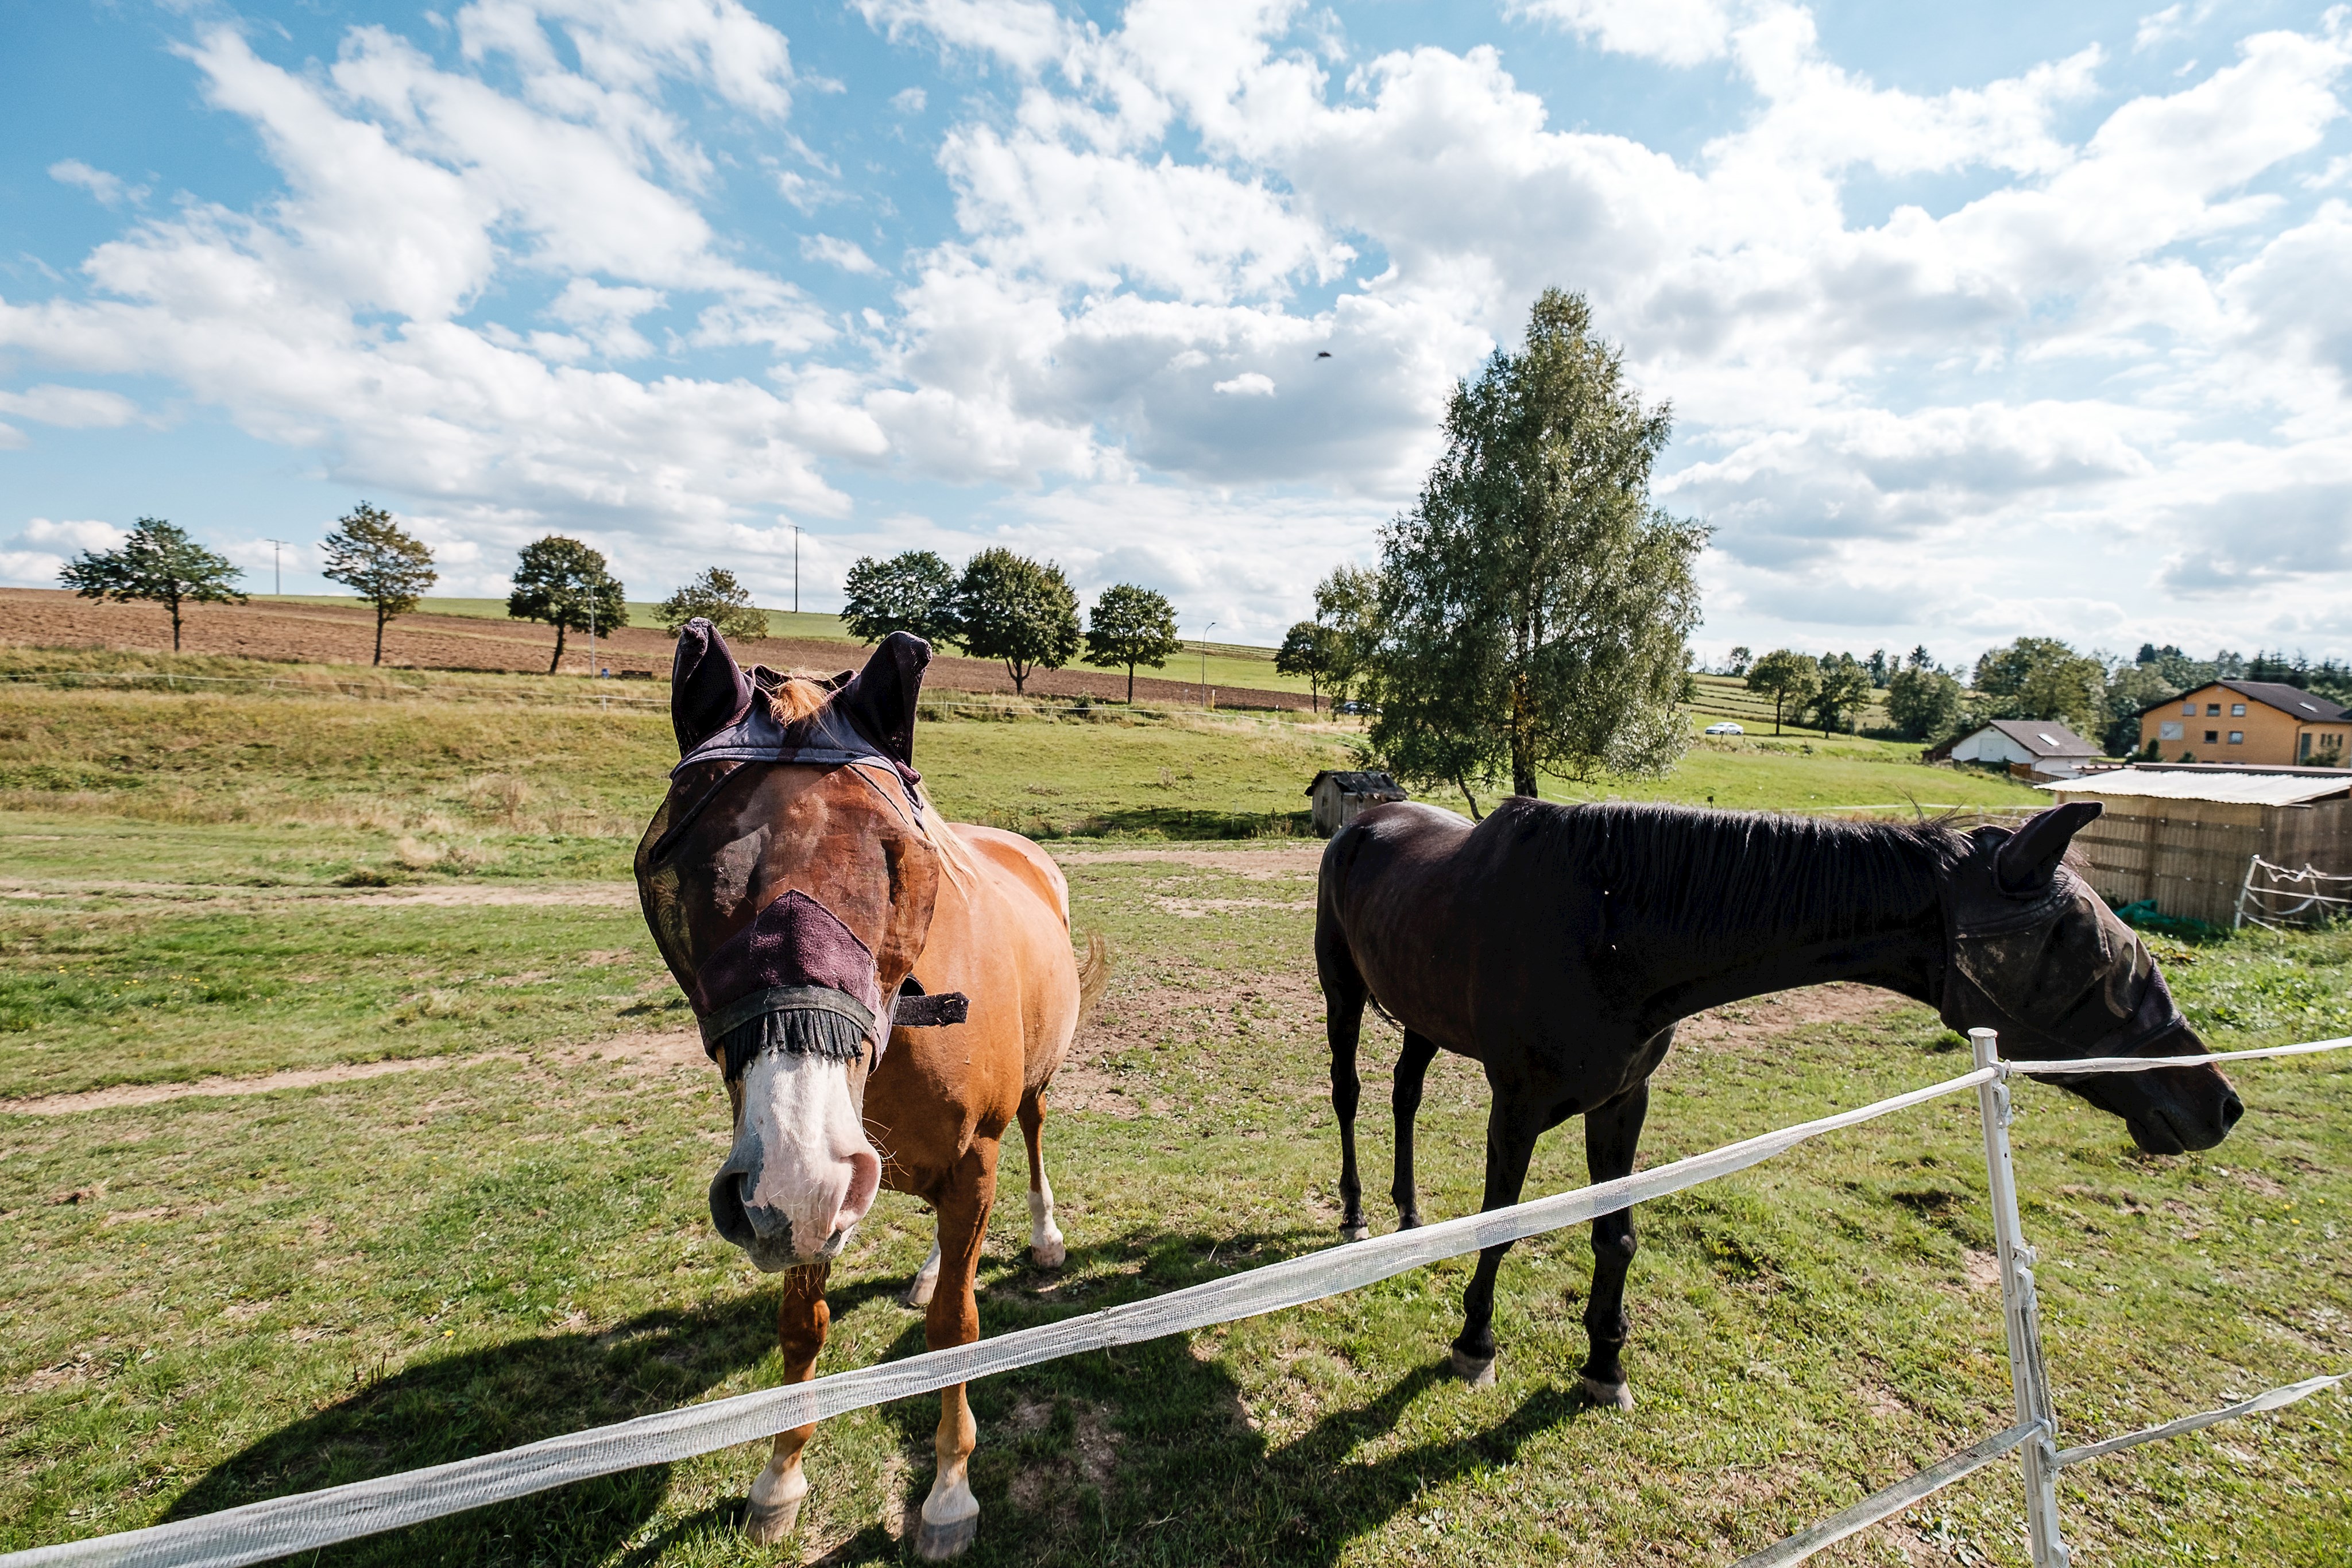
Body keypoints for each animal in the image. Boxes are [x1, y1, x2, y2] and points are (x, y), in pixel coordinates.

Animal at [625, 620, 1100, 1561]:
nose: (805, 1174)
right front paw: (779, 1477)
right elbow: (803, 1322)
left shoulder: (957, 1159)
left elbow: (955, 1331)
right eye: (686, 865)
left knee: (1030, 1141)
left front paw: (948, 1494)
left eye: (899, 861)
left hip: (1023, 1103)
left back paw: (1042, 1234)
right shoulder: (794, 1190)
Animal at [1326, 804, 2239, 1401]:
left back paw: (1409, 1211)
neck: (1608, 926)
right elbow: (1501, 1225)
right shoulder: (1515, 1104)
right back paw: (1359, 1212)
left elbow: (1614, 1237)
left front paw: (1604, 1366)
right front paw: (1475, 1344)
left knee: (1405, 1093)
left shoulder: (1622, 1101)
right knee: (1350, 1094)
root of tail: (1364, 819)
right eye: (2085, 945)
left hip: (1417, 1012)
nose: (2217, 1100)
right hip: (1346, 994)